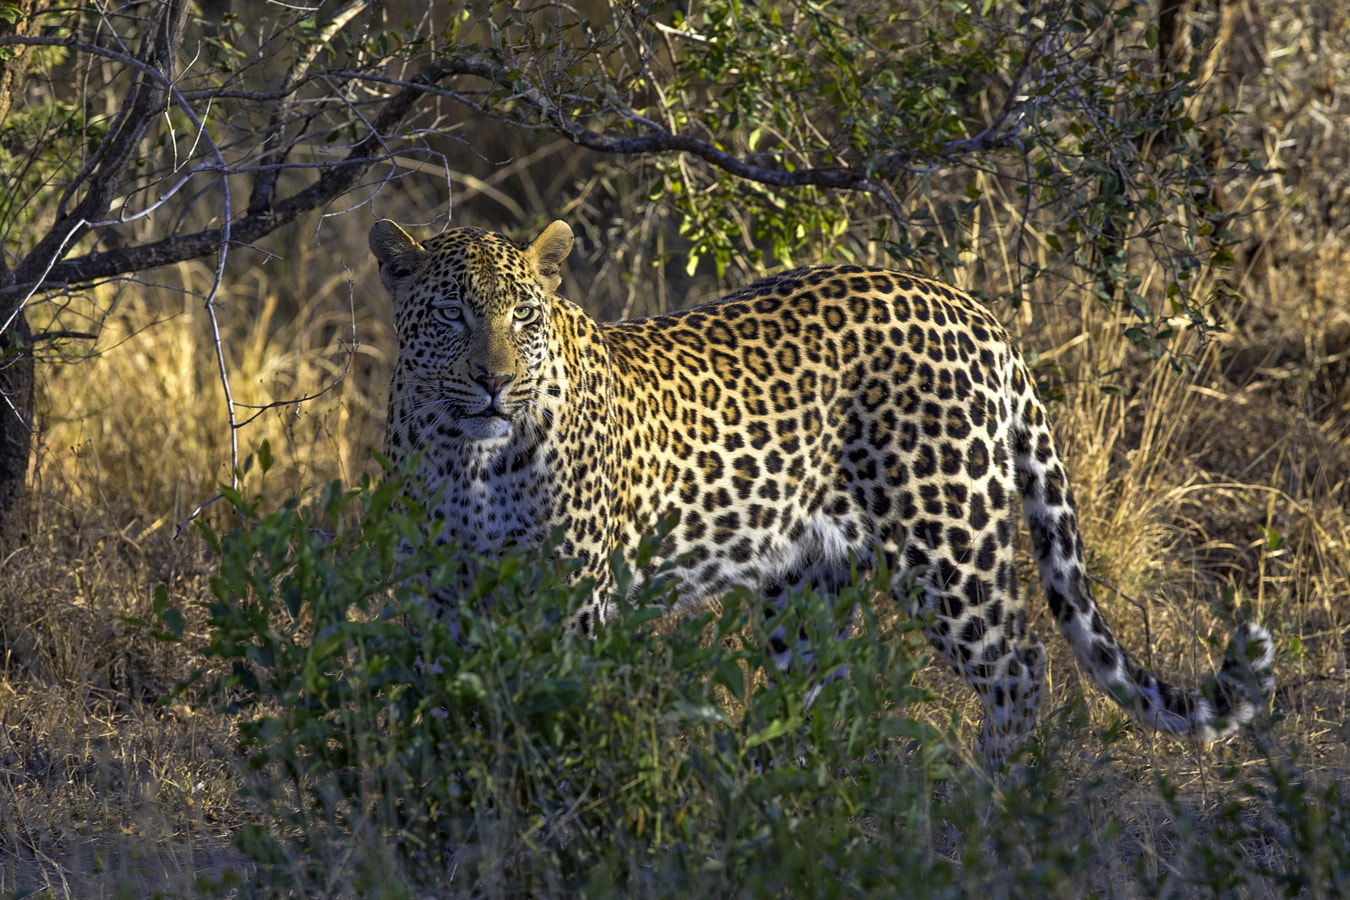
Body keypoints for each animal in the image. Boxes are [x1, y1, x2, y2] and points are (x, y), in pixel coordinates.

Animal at [372, 215, 1274, 755]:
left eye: (523, 315)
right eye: (451, 314)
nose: (495, 381)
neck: (470, 456)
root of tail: (975, 311)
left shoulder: (573, 598)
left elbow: (549, 712)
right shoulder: (437, 592)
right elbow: (443, 711)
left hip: (951, 549)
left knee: (1022, 670)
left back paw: (997, 806)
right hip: (806, 588)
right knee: (827, 697)